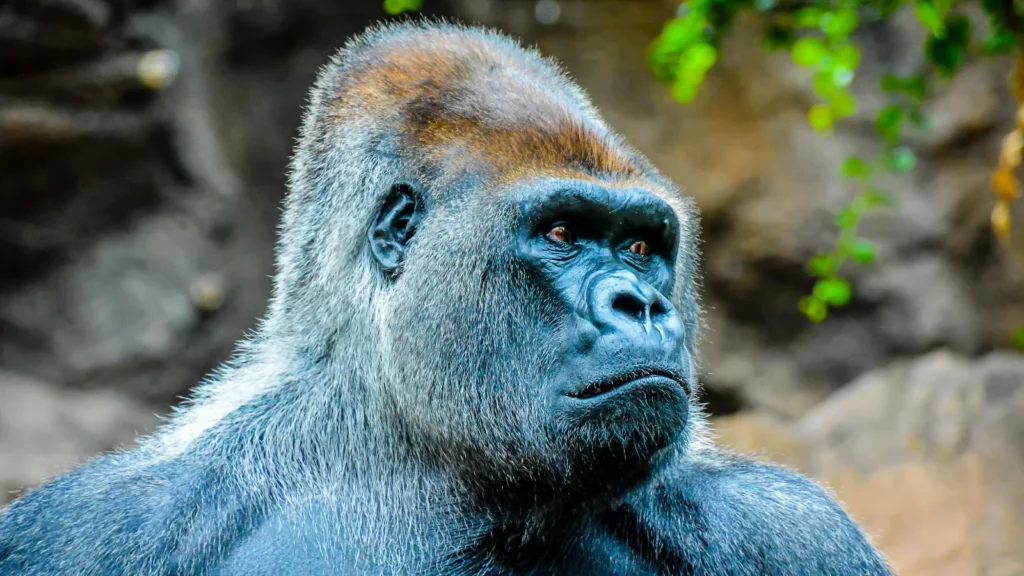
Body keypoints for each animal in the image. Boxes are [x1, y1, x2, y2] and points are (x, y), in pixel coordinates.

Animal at [0, 21, 892, 575]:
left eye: (643, 248)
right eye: (562, 232)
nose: (641, 305)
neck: (408, 452)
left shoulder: (794, 530)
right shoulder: (86, 531)